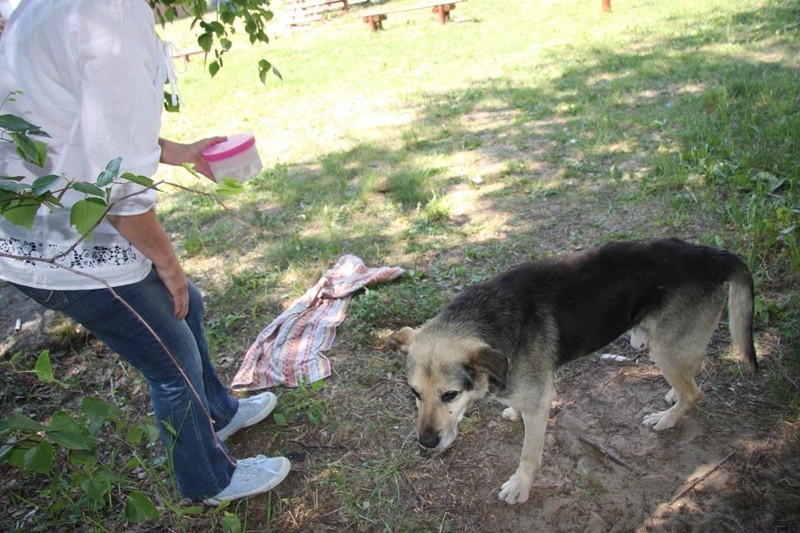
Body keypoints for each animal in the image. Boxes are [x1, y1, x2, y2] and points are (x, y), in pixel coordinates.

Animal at [390, 237, 760, 502]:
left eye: (450, 395)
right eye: (414, 393)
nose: (425, 444)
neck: (488, 317)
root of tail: (712, 255)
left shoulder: (540, 406)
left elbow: (529, 455)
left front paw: (520, 486)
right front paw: (511, 410)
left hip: (663, 349)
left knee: (695, 392)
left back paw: (668, 419)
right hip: (672, 346)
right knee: (692, 369)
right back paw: (672, 394)